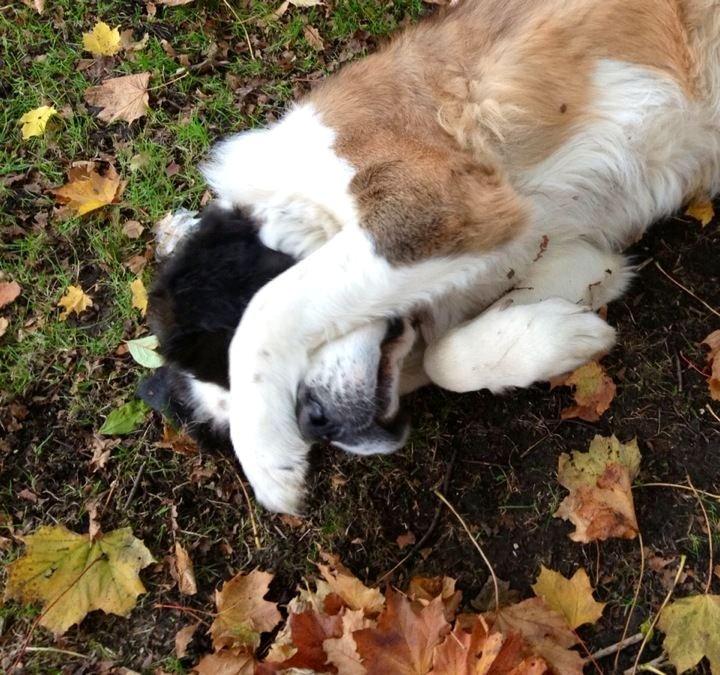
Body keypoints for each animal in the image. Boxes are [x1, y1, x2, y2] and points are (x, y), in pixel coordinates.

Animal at [160, 0, 720, 516]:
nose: (315, 423)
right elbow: (442, 353)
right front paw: (557, 339)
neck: (308, 194)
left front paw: (264, 454)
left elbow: (271, 306)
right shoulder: (572, 257)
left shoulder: (436, 206)